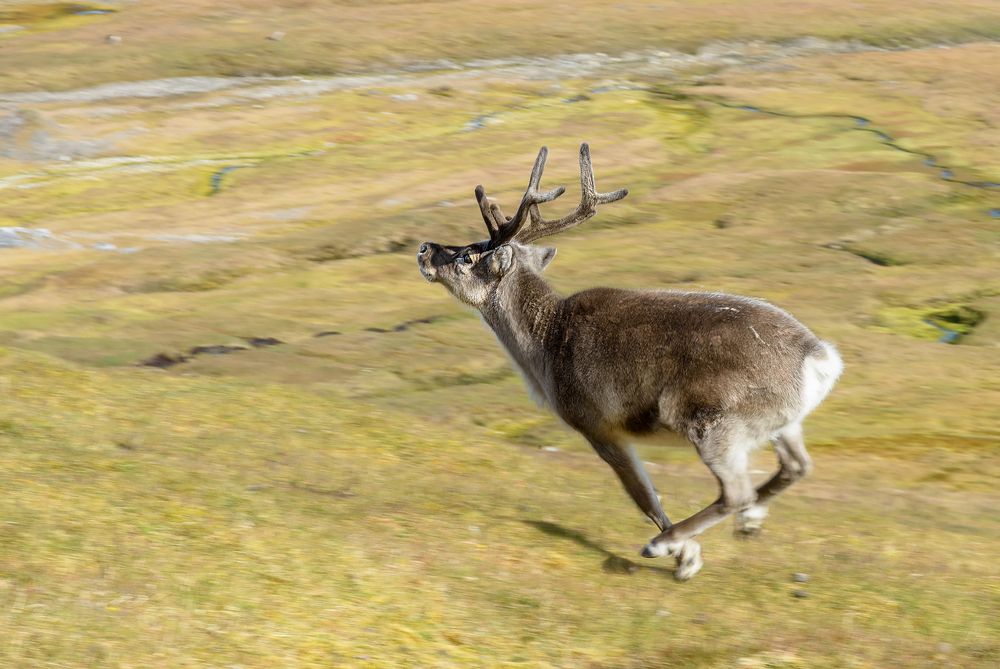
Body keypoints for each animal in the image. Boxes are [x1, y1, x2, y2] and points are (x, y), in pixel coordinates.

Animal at [416, 144, 842, 580]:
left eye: (467, 257)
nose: (425, 248)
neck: (544, 342)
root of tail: (819, 357)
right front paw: (688, 552)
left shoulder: (597, 425)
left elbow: (643, 494)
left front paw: (686, 556)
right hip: (782, 424)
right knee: (796, 467)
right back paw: (750, 520)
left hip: (714, 425)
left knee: (737, 491)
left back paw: (664, 543)